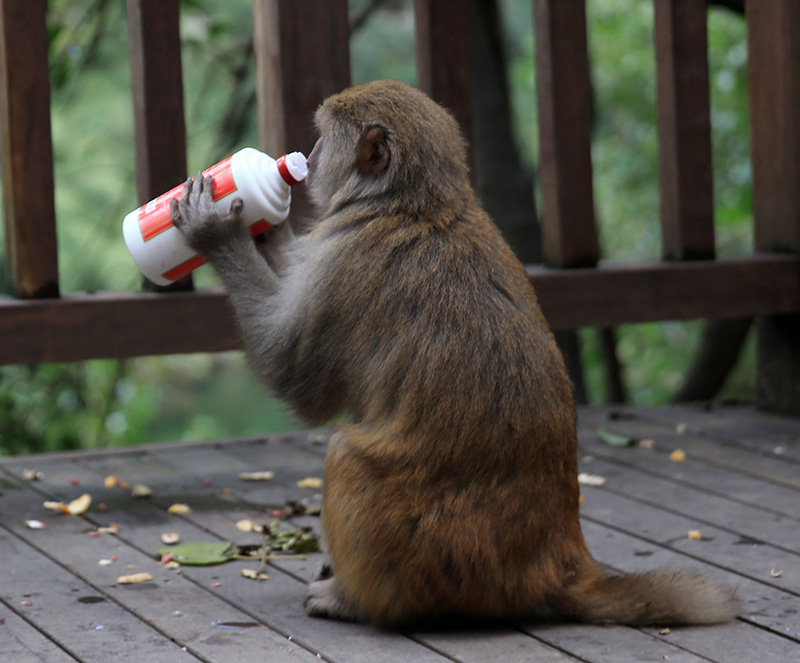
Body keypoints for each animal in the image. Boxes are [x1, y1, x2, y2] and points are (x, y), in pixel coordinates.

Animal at [172, 80, 740, 632]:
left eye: (322, 138)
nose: (303, 159)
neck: (412, 204)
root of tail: (560, 562)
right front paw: (261, 221)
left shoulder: (345, 263)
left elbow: (295, 377)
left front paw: (215, 231)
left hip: (437, 555)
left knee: (347, 454)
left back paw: (356, 601)